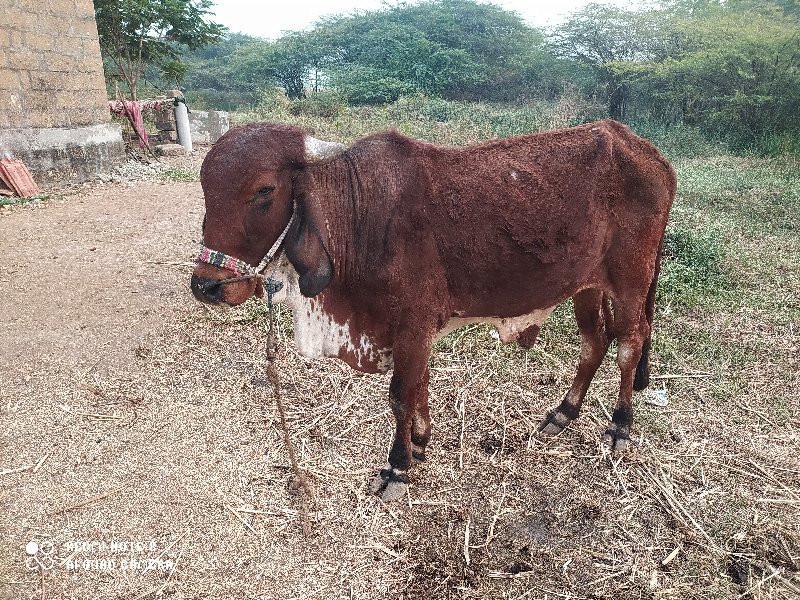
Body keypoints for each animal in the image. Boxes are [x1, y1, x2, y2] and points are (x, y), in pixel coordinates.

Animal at [192, 119, 676, 500]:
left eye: (264, 190)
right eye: (204, 187)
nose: (207, 286)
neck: (359, 217)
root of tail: (646, 150)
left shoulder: (412, 325)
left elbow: (401, 395)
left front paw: (398, 466)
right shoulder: (415, 332)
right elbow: (419, 386)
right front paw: (421, 443)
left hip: (631, 281)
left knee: (630, 343)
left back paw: (620, 425)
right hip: (586, 286)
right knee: (594, 343)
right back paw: (563, 412)